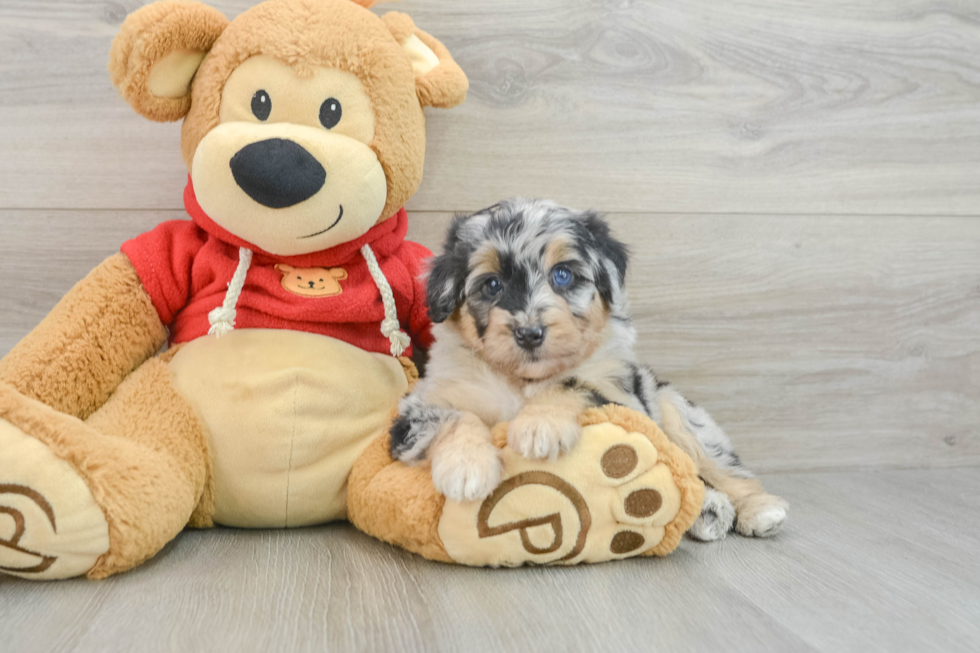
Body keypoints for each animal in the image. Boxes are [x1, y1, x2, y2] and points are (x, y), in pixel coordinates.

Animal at [390, 199, 788, 540]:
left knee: (719, 466)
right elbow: (453, 416)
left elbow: (572, 382)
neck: (523, 381)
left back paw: (758, 509)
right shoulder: (417, 408)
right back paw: (710, 510)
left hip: (677, 413)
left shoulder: (623, 400)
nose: (529, 333)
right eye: (492, 284)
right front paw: (466, 466)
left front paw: (539, 427)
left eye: (563, 275)